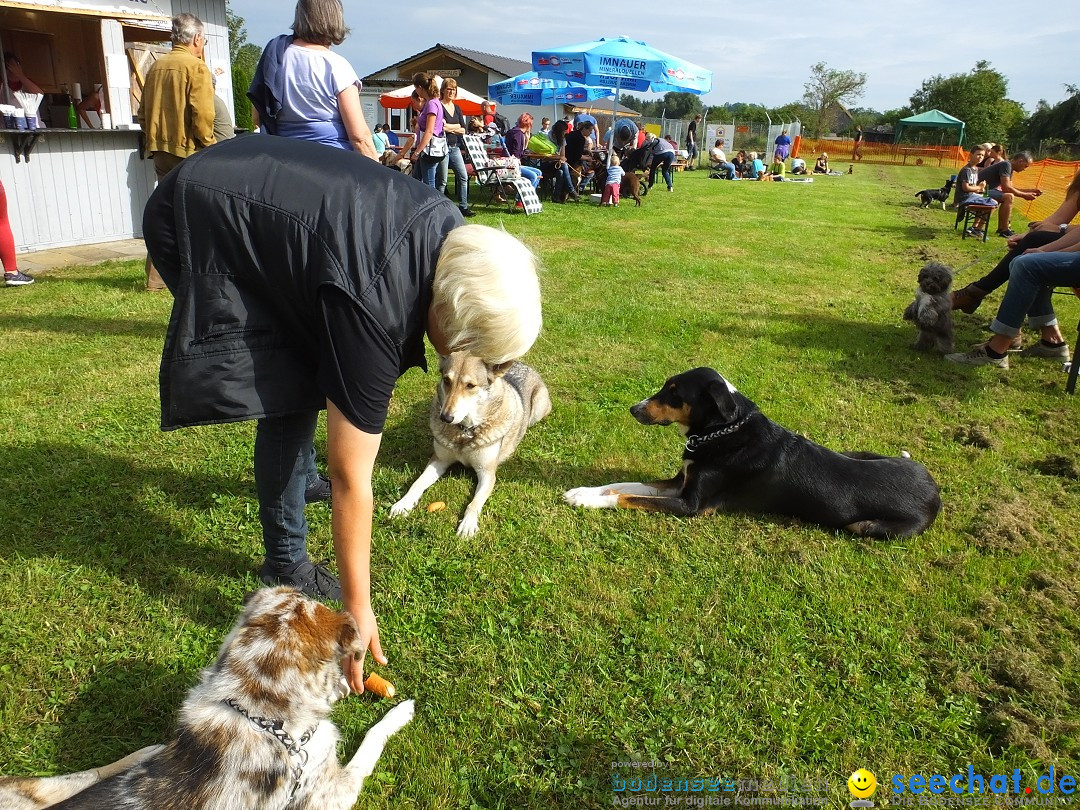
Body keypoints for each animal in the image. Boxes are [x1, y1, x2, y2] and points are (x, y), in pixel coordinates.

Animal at [565, 371, 937, 542]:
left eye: (674, 393)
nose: (634, 409)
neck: (723, 431)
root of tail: (934, 490)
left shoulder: (691, 505)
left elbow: (628, 497)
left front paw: (590, 501)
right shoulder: (680, 481)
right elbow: (627, 484)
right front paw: (583, 492)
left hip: (868, 526)